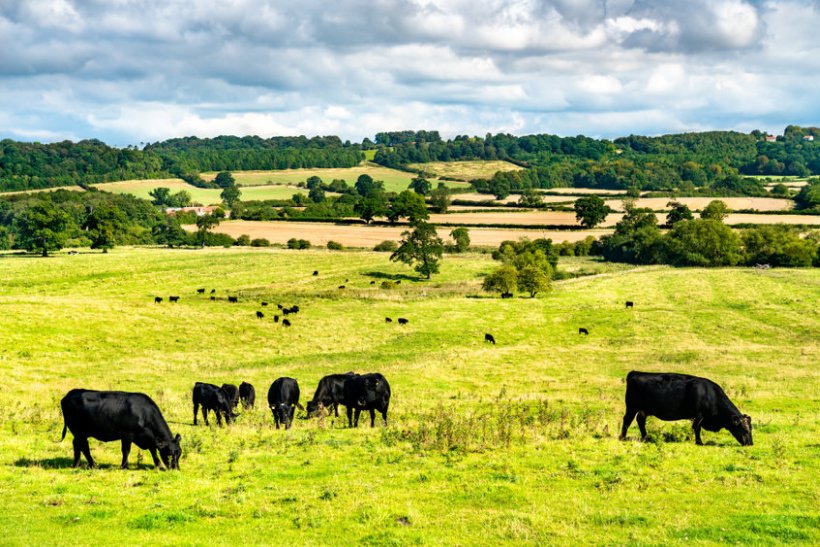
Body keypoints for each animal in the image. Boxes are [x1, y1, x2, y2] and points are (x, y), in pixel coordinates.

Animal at [620, 370, 752, 448]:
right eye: (745, 430)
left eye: (751, 429)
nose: (751, 444)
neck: (710, 394)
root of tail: (635, 373)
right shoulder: (699, 415)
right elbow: (696, 428)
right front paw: (698, 442)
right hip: (632, 407)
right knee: (627, 420)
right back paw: (622, 437)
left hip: (644, 409)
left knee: (640, 420)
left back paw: (645, 437)